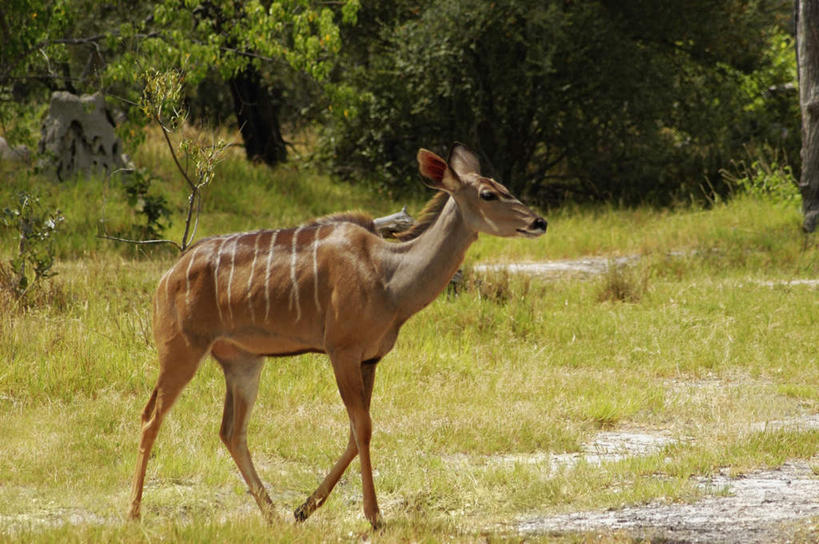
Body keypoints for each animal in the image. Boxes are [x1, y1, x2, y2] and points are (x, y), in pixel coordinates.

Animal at [128, 143, 548, 528]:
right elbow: (363, 427)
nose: (539, 222)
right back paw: (134, 513)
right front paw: (374, 517)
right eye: (488, 193)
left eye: (505, 186)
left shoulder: (370, 359)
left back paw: (273, 514)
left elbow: (355, 430)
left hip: (243, 362)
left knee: (231, 431)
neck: (389, 277)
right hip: (182, 351)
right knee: (151, 416)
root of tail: (169, 276)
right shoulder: (342, 351)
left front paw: (303, 509)